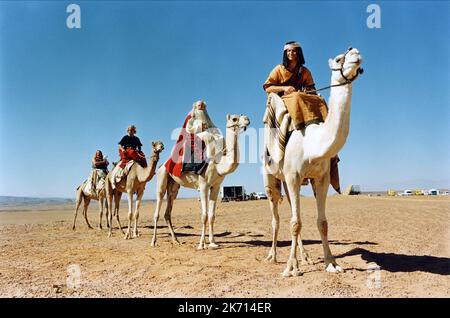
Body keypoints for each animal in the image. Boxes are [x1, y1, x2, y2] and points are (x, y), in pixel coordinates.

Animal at [150, 113, 250, 250]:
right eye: (234, 119)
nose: (247, 119)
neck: (218, 164)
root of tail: (163, 164)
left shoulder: (216, 187)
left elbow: (212, 215)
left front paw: (212, 242)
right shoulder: (203, 186)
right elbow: (204, 215)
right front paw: (202, 244)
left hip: (174, 187)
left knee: (168, 211)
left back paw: (176, 240)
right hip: (162, 178)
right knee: (157, 210)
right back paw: (153, 242)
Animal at [262, 46, 364, 276]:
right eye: (339, 59)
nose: (355, 52)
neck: (313, 143)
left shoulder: (321, 177)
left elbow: (321, 222)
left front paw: (332, 263)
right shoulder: (292, 175)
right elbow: (295, 223)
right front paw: (291, 268)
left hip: (291, 182)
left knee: (292, 212)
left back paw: (305, 257)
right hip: (271, 178)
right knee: (275, 218)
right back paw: (272, 256)